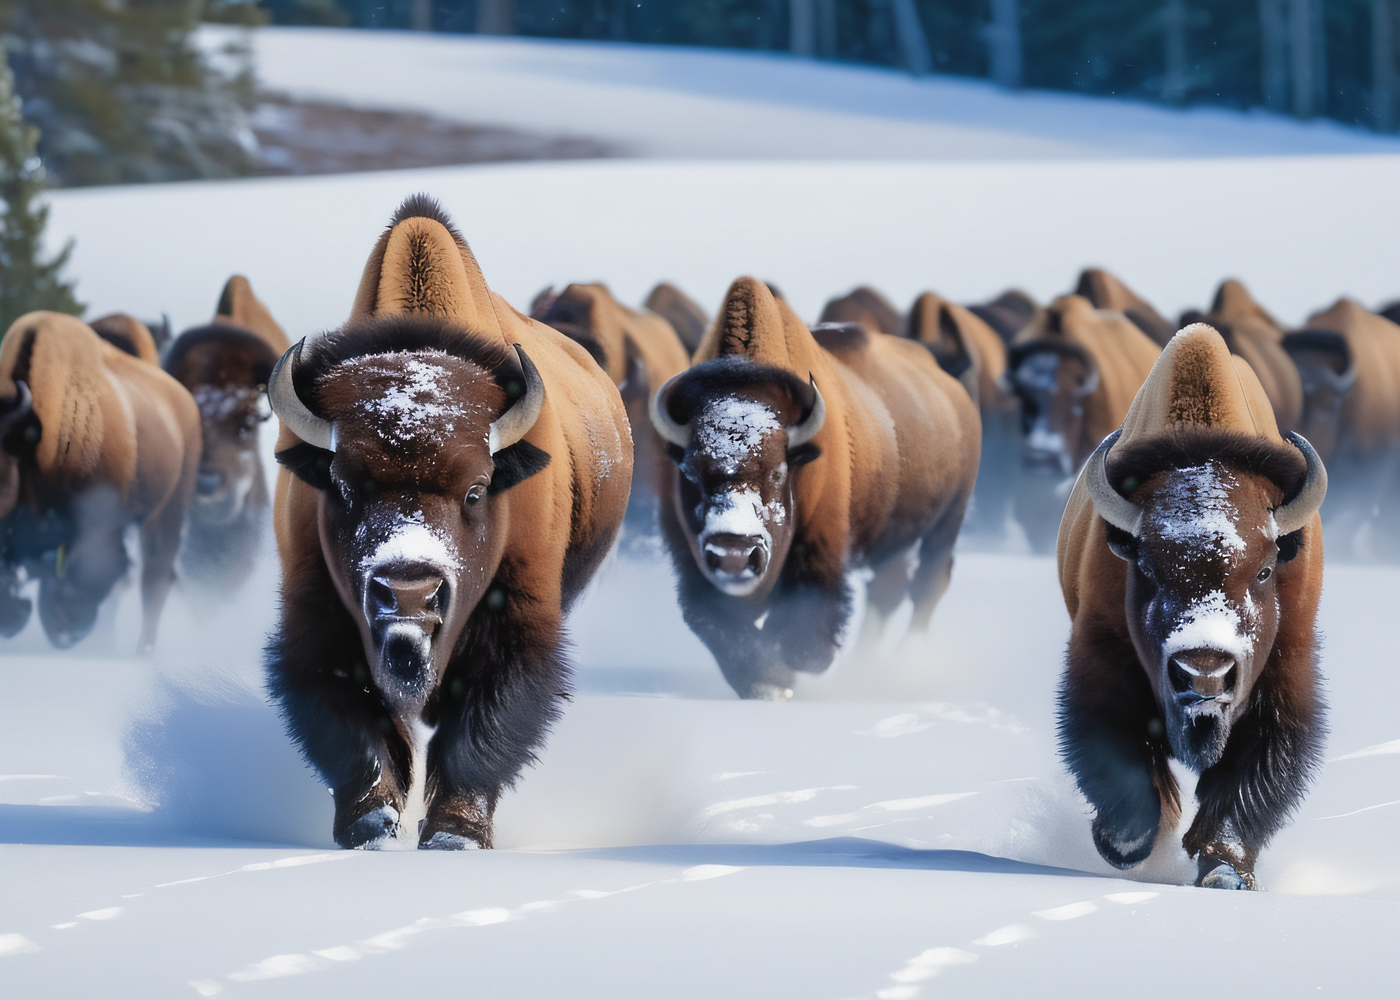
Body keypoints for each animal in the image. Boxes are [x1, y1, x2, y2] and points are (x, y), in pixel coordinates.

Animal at [0, 312, 200, 650]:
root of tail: (185, 404)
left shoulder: (97, 524)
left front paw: (67, 629)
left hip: (168, 510)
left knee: (156, 576)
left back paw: (142, 650)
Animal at [265, 196, 631, 849]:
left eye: (477, 490)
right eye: (342, 486)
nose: (410, 590)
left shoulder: (517, 622)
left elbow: (482, 726)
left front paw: (455, 835)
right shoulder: (318, 621)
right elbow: (353, 725)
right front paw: (371, 827)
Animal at [649, 277, 980, 699]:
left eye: (778, 472)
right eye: (690, 472)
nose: (734, 555)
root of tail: (953, 388)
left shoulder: (820, 549)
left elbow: (804, 631)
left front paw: (787, 676)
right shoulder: (691, 564)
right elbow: (719, 627)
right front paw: (768, 683)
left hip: (950, 517)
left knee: (928, 582)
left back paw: (905, 664)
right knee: (888, 589)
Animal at [1058, 323, 1327, 889]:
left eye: (1265, 570)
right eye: (1146, 567)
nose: (1204, 674)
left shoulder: (1285, 672)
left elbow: (1250, 777)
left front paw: (1225, 873)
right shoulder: (1101, 654)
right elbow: (1123, 762)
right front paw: (1125, 846)